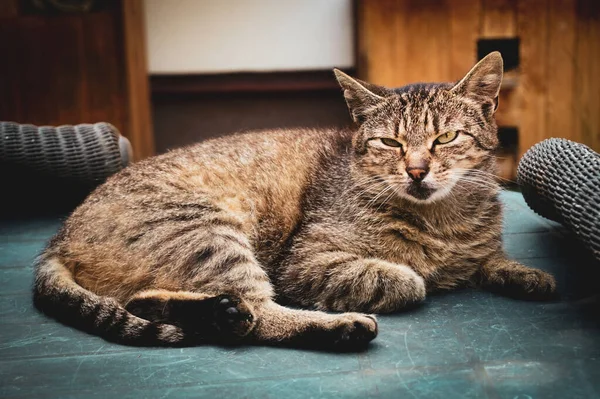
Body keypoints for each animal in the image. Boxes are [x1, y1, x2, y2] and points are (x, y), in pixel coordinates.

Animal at [32, 53, 556, 350]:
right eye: (390, 143)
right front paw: (418, 273)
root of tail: (57, 238)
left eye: (446, 137)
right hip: (208, 233)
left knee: (144, 299)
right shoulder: (304, 261)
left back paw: (206, 312)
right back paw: (337, 328)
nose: (416, 171)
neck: (442, 219)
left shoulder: (477, 247)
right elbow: (409, 280)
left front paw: (525, 274)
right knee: (258, 315)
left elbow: (489, 259)